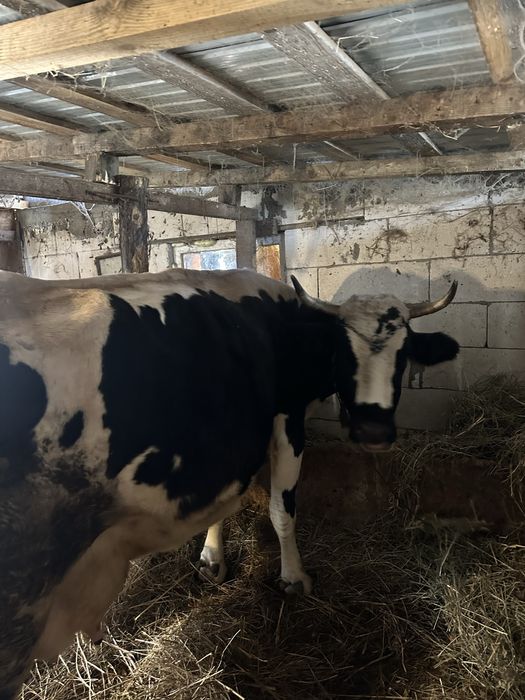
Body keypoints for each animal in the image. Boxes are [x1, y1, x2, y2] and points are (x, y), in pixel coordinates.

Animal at [0, 267, 459, 698]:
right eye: (344, 355)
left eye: (404, 355)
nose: (372, 432)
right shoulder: (286, 419)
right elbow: (281, 509)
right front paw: (294, 578)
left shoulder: (232, 443)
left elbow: (223, 506)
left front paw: (210, 558)